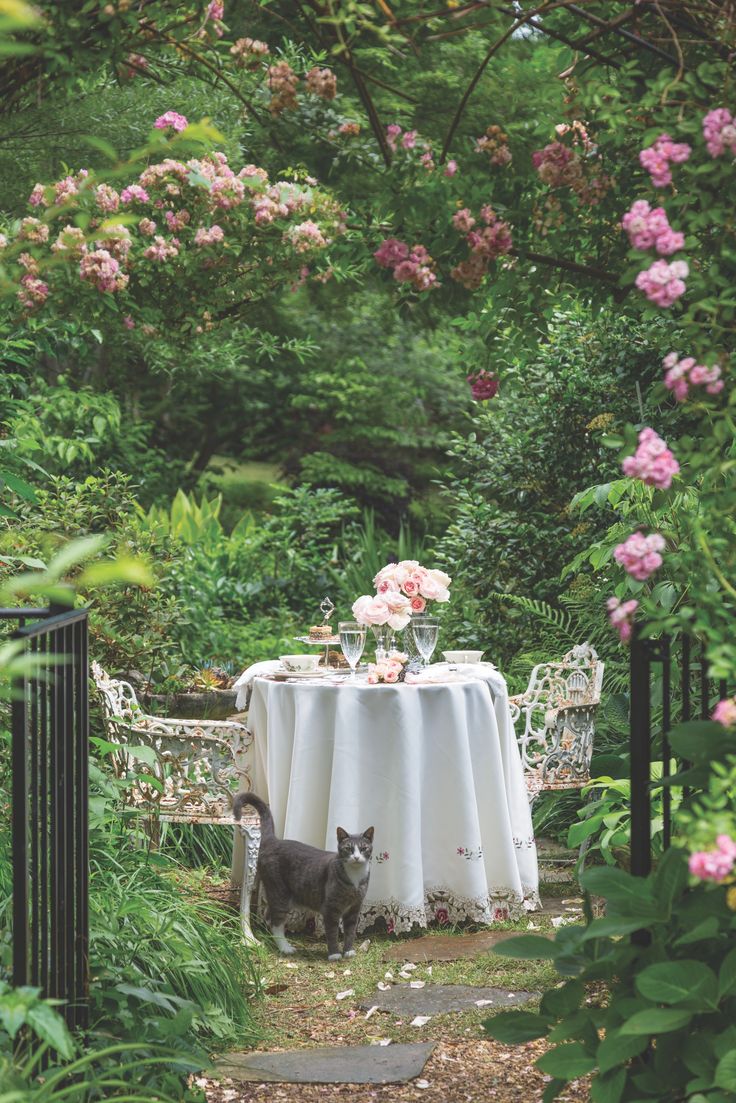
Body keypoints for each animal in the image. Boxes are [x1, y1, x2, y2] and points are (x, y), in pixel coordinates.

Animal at [235, 789, 375, 961]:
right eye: (348, 848)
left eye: (363, 848)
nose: (356, 857)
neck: (354, 877)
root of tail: (273, 840)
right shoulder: (330, 908)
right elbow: (332, 932)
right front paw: (334, 954)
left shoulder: (354, 908)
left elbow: (350, 932)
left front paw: (348, 951)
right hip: (279, 891)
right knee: (275, 921)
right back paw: (285, 948)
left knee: (269, 916)